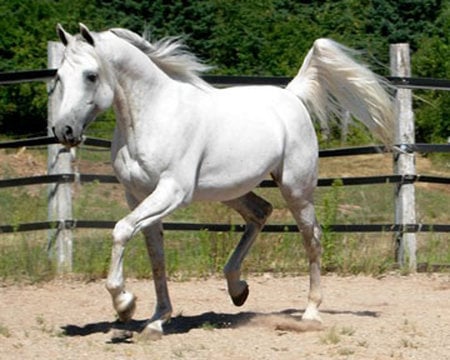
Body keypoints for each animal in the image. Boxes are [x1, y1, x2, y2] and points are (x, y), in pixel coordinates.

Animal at [51, 23, 392, 338]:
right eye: (59, 77)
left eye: (91, 76)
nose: (63, 131)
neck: (153, 115)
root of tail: (291, 95)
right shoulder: (137, 196)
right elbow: (156, 257)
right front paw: (156, 320)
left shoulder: (172, 192)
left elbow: (121, 230)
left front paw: (125, 304)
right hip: (231, 190)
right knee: (260, 212)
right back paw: (237, 289)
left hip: (296, 188)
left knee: (312, 238)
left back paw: (310, 313)